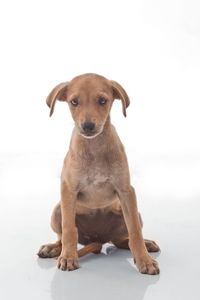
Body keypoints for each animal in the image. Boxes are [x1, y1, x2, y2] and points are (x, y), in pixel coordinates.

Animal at [37, 72, 160, 274]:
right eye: (74, 102)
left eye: (102, 100)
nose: (87, 126)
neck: (94, 147)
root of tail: (98, 239)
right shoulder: (68, 190)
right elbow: (69, 229)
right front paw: (68, 257)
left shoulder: (126, 191)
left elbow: (135, 231)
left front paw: (145, 260)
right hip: (57, 211)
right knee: (63, 236)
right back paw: (54, 248)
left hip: (131, 215)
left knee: (122, 240)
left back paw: (147, 244)